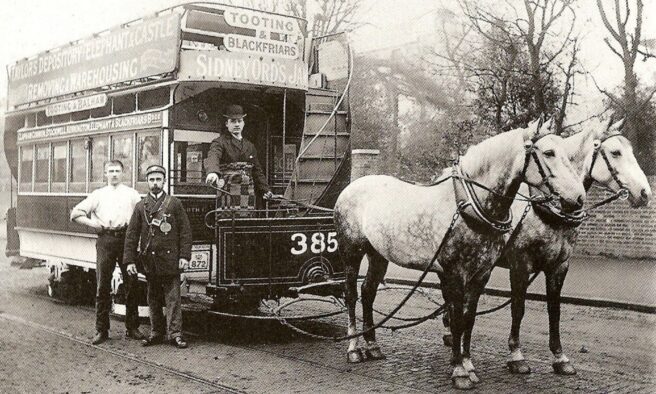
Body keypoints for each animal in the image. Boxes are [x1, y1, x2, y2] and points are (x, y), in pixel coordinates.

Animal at [334, 118, 584, 390]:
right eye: (548, 153)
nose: (578, 198)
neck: (471, 204)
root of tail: (352, 186)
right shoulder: (456, 273)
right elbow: (456, 320)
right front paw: (459, 371)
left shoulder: (481, 274)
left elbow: (468, 319)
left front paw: (468, 365)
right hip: (351, 252)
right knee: (351, 295)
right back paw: (353, 348)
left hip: (378, 254)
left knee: (368, 292)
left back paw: (372, 345)